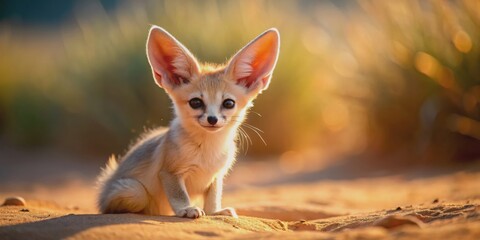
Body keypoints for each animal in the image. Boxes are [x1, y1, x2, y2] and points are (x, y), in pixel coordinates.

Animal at [96, 25, 280, 218]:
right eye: (196, 102)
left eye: (228, 103)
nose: (212, 119)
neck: (208, 151)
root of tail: (107, 181)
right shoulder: (170, 173)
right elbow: (179, 195)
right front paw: (186, 209)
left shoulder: (216, 176)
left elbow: (213, 198)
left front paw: (215, 212)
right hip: (134, 191)